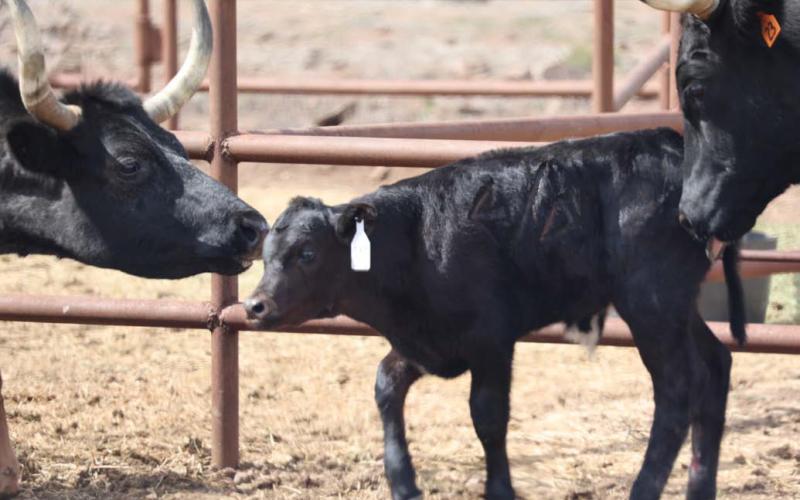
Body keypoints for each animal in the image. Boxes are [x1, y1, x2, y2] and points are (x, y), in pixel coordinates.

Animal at [244, 128, 745, 500]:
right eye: (265, 255)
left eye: (307, 253)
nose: (255, 305)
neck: (417, 238)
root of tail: (671, 145)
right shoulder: (426, 341)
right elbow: (386, 385)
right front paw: (404, 482)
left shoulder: (490, 341)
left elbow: (487, 416)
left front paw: (498, 489)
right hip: (676, 307)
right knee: (715, 365)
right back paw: (700, 489)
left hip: (651, 304)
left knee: (677, 389)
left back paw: (644, 488)